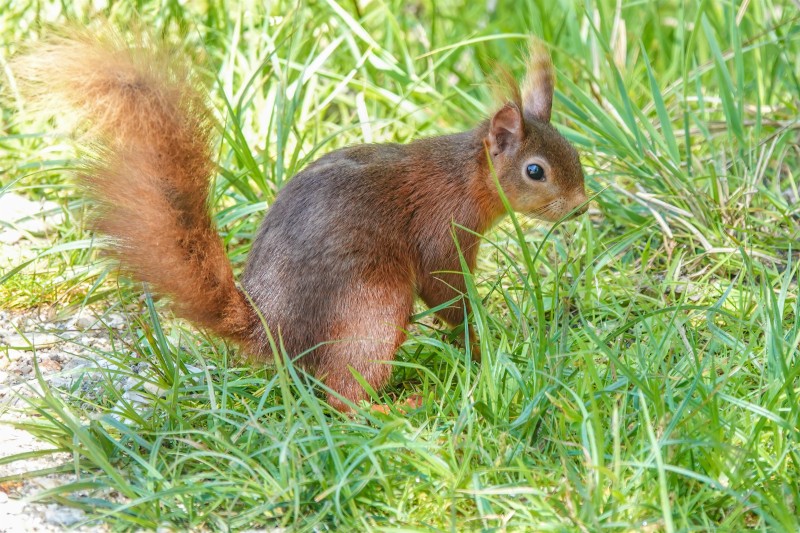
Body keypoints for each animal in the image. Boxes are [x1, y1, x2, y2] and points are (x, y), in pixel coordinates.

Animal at [14, 30, 588, 412]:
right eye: (535, 171)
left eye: (575, 152)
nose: (581, 206)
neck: (465, 176)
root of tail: (269, 331)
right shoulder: (442, 234)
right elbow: (447, 293)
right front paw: (485, 337)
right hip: (371, 310)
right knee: (341, 398)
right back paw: (397, 409)